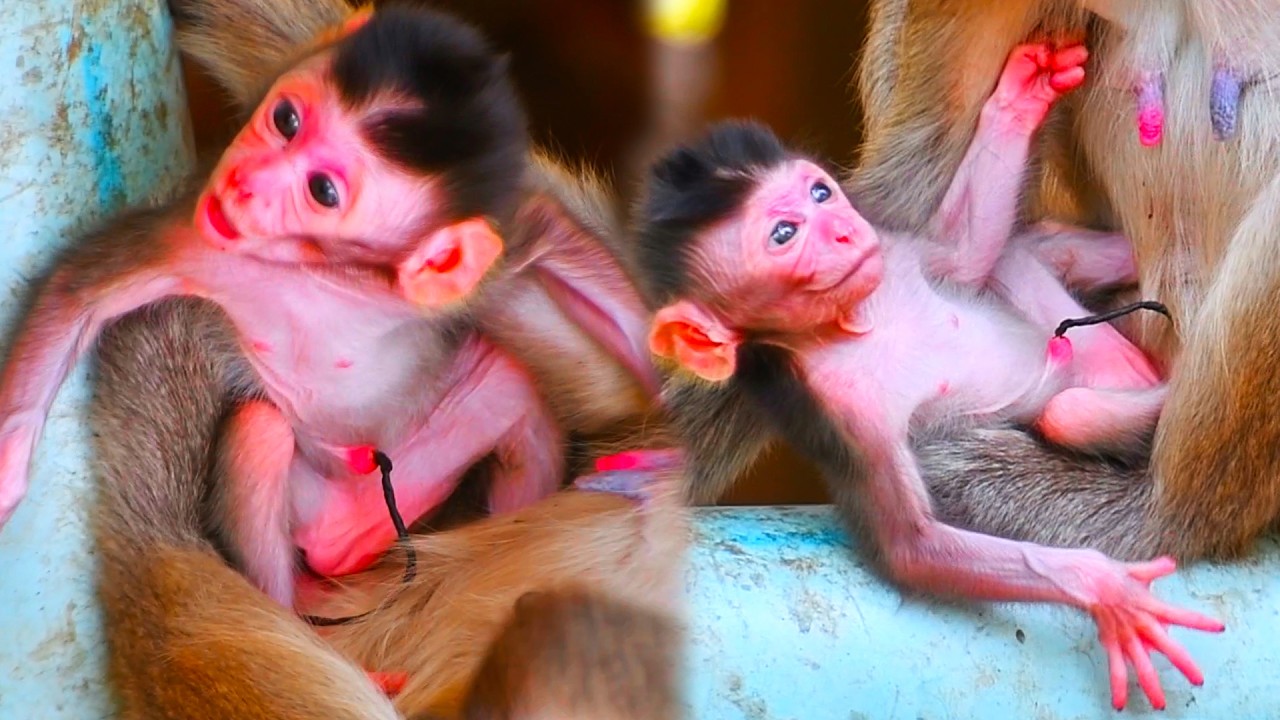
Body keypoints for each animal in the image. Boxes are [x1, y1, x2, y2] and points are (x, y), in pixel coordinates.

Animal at [0, 3, 569, 612]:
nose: (246, 181)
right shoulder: (203, 248)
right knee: (261, 435)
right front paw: (7, 462)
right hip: (318, 500)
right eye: (287, 121)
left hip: (419, 466)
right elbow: (79, 291)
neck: (322, 270)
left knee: (512, 393)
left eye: (322, 191)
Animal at [621, 41, 1227, 711]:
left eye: (820, 194)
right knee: (1070, 409)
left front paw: (1024, 92)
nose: (844, 229)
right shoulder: (848, 412)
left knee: (1022, 255)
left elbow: (967, 254)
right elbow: (914, 548)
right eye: (784, 233)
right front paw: (1100, 587)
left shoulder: (892, 254)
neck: (856, 322)